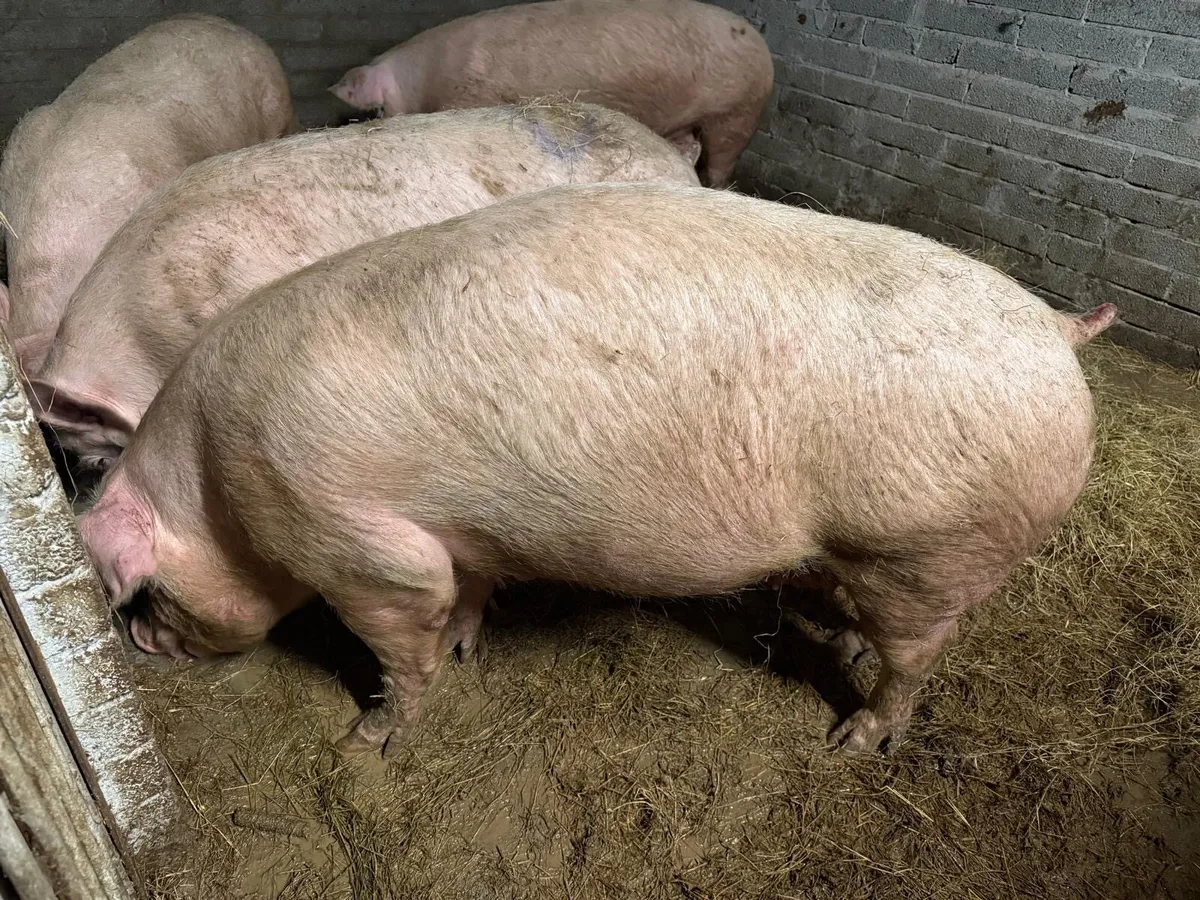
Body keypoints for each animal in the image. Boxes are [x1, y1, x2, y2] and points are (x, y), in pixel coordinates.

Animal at [77, 182, 1116, 757]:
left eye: (148, 593)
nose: (142, 644)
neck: (216, 488)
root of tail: (1054, 328)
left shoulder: (350, 541)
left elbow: (405, 630)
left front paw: (368, 739)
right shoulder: (461, 531)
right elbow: (466, 590)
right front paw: (470, 647)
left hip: (931, 542)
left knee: (919, 658)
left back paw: (853, 743)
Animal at [329, 0, 773, 188]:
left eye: (379, 108)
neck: (424, 80)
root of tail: (763, 46)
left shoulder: (473, 95)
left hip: (737, 112)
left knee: (720, 164)